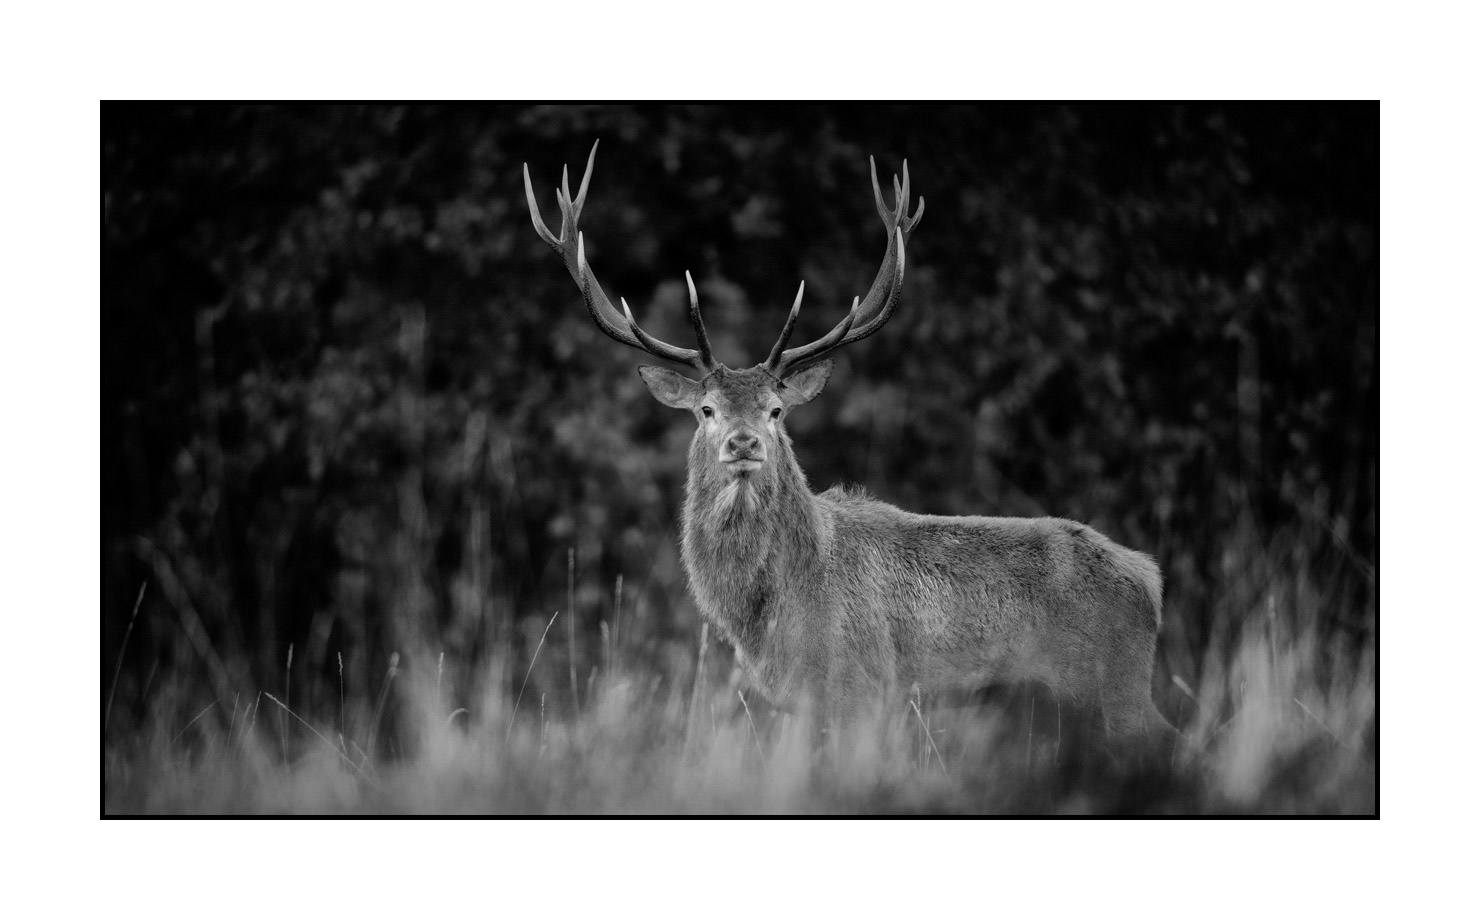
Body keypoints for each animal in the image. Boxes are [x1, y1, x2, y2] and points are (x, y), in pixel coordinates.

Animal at [524, 142, 1177, 744]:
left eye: (776, 410)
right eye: (706, 410)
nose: (744, 443)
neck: (772, 615)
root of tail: (1149, 581)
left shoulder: (861, 686)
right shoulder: (799, 706)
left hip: (1112, 684)